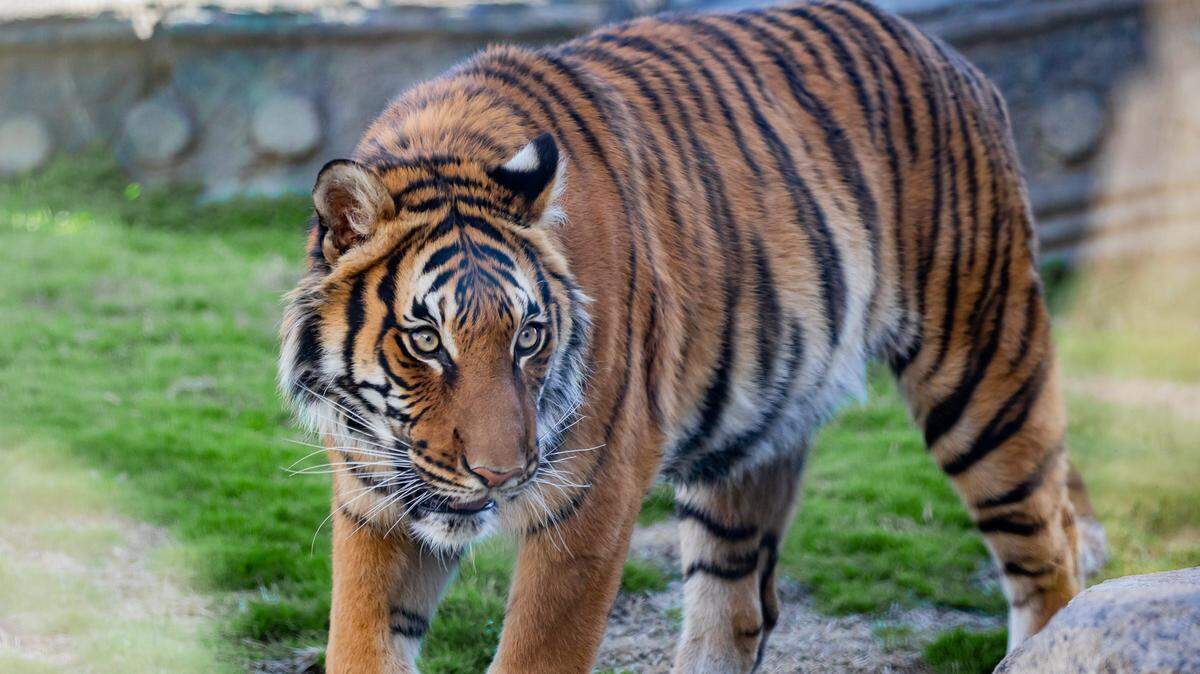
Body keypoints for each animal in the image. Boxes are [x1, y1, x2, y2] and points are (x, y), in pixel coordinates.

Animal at [278, 0, 1109, 671]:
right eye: (426, 341)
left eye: (528, 338)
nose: (502, 477)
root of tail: (956, 57)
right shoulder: (373, 504)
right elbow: (361, 644)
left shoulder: (589, 496)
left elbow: (536, 651)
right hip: (751, 437)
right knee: (737, 608)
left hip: (982, 369)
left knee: (1048, 551)